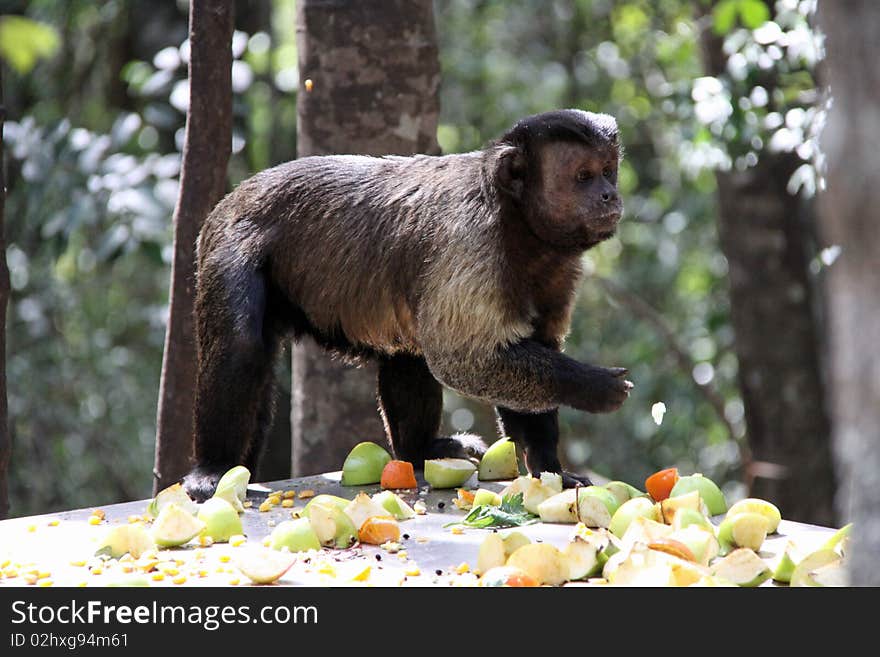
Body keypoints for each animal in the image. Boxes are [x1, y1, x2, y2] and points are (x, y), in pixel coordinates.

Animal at [182, 107, 632, 500]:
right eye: (584, 176)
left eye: (608, 170)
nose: (609, 194)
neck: (518, 223)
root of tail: (237, 193)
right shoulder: (471, 240)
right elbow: (467, 359)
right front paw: (592, 385)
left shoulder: (561, 271)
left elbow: (525, 351)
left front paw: (550, 470)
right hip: (228, 240)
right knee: (241, 345)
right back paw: (213, 468)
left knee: (407, 353)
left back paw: (419, 452)